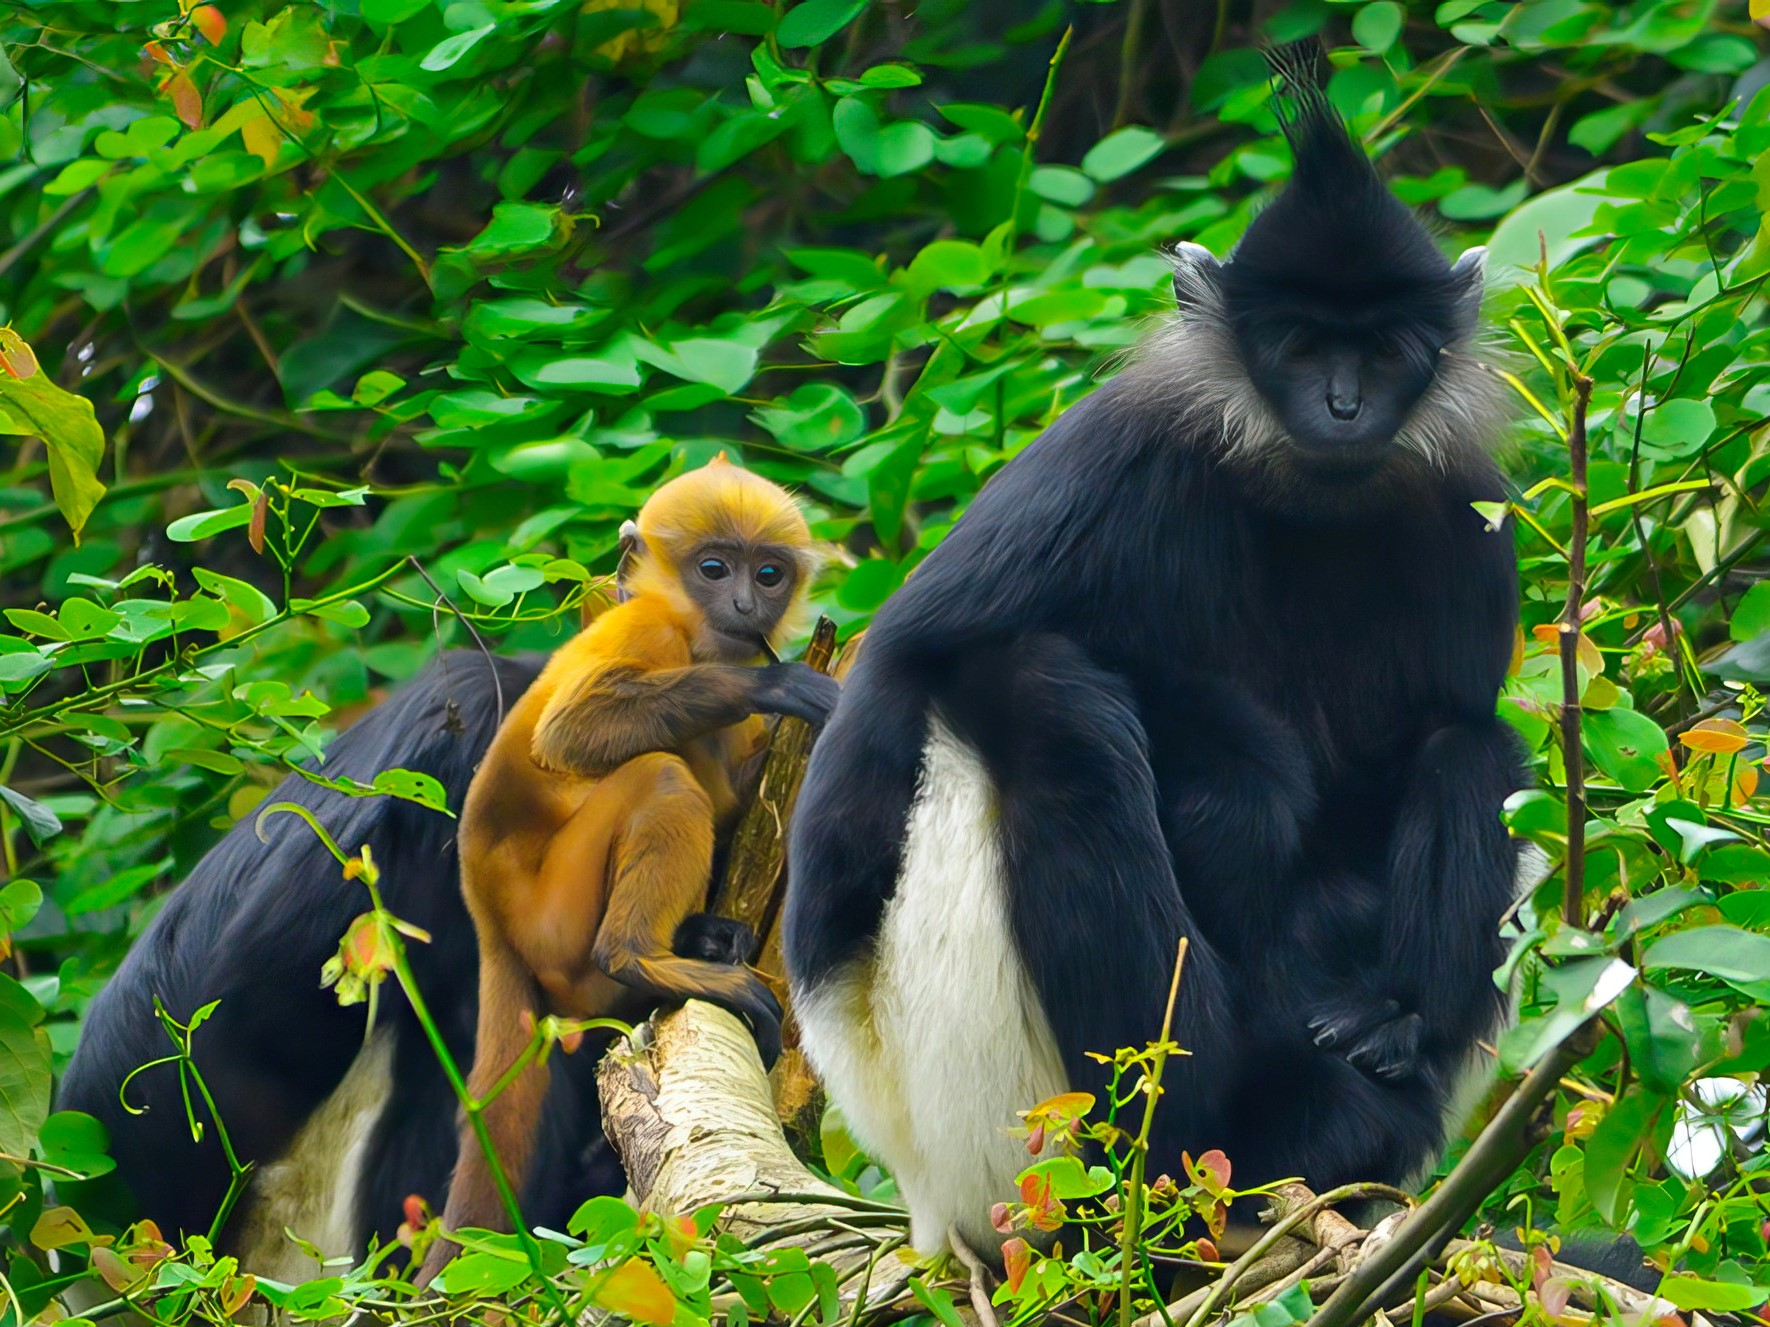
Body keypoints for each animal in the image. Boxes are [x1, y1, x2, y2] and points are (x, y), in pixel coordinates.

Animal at [415, 463, 835, 1280]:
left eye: (768, 574)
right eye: (713, 569)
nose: (745, 606)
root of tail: (487, 917)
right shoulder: (648, 629)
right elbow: (570, 734)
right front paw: (775, 690)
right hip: (559, 922)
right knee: (661, 776)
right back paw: (645, 958)